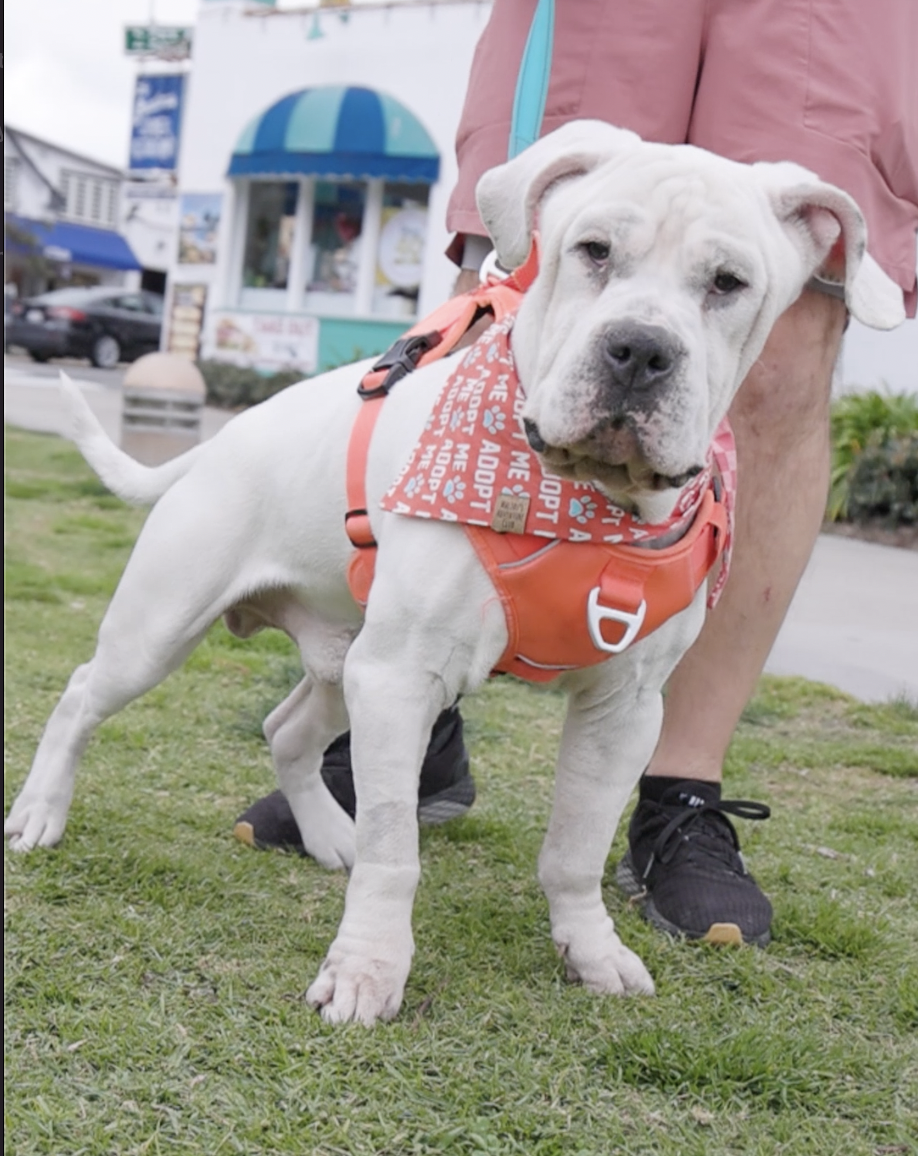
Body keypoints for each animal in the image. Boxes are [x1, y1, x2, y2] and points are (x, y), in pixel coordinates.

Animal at [3, 124, 897, 1031]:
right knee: (81, 693)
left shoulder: (623, 710)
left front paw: (591, 949)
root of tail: (220, 441)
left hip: (344, 657)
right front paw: (367, 969)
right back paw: (41, 812)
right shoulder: (400, 678)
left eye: (728, 283)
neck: (583, 498)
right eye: (593, 251)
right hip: (166, 631)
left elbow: (575, 848)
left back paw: (328, 833)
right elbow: (396, 849)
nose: (641, 349)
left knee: (286, 732)